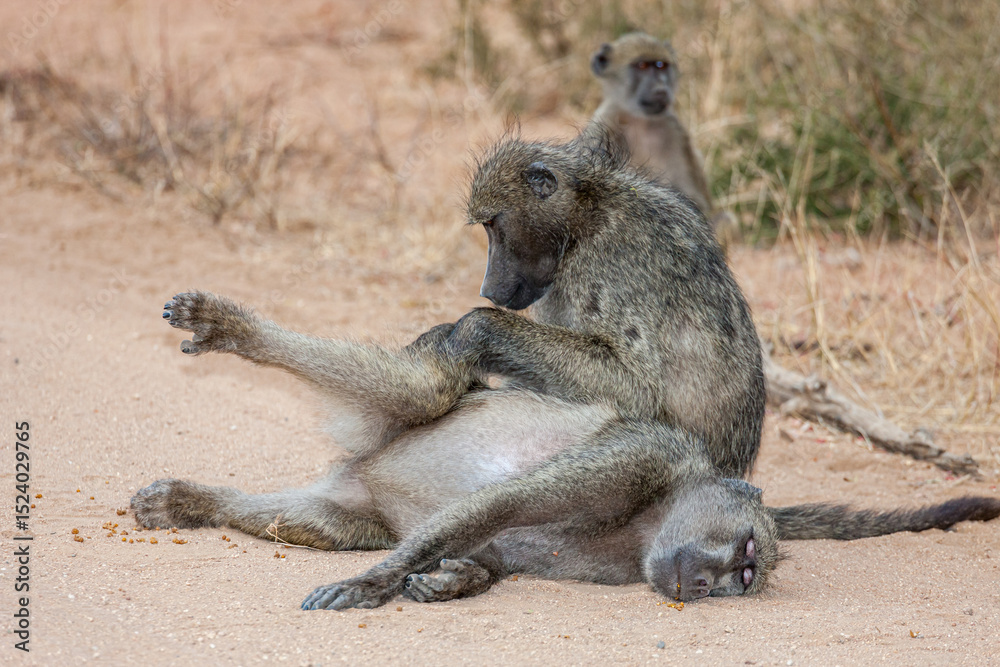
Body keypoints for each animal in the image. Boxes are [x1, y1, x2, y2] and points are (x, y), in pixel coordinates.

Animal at [132, 293, 1000, 611]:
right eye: (748, 556)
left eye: (746, 578)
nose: (714, 582)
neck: (656, 516)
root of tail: (359, 469)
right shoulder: (639, 455)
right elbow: (504, 500)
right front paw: (374, 586)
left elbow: (491, 548)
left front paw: (447, 579)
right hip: (420, 404)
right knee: (421, 390)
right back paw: (231, 329)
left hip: (349, 504)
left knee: (314, 519)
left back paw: (191, 500)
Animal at [587, 32, 738, 247]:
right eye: (642, 66)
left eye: (660, 65)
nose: (660, 88)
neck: (641, 122)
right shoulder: (603, 126)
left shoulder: (676, 132)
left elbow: (696, 204)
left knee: (726, 222)